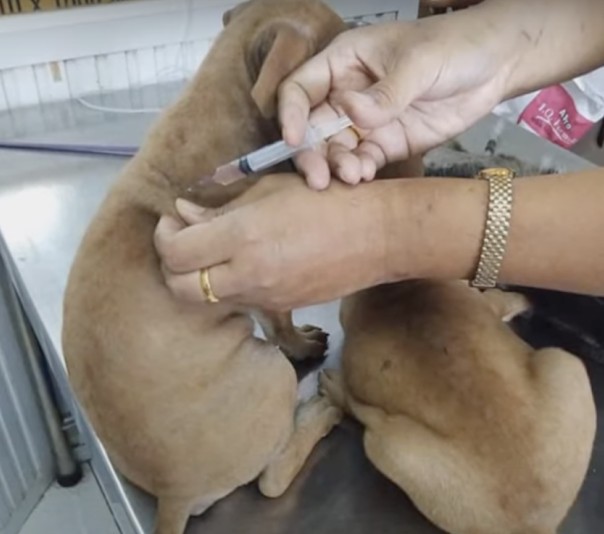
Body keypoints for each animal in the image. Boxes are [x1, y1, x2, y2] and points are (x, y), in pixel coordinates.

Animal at [61, 2, 347, 533]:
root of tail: (173, 496)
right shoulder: (268, 280)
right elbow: (282, 324)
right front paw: (303, 341)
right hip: (271, 374)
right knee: (272, 479)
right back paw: (320, 414)